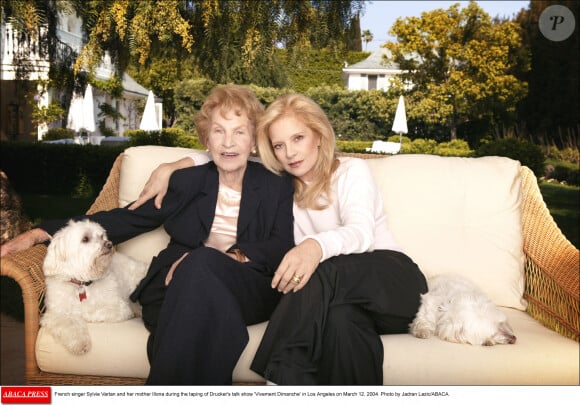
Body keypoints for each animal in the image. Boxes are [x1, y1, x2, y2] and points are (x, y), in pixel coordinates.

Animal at [41, 218, 147, 354]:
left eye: (101, 236)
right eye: (85, 239)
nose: (109, 244)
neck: (83, 284)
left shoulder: (119, 307)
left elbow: (93, 313)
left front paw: (84, 316)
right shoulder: (55, 314)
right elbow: (68, 324)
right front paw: (79, 342)